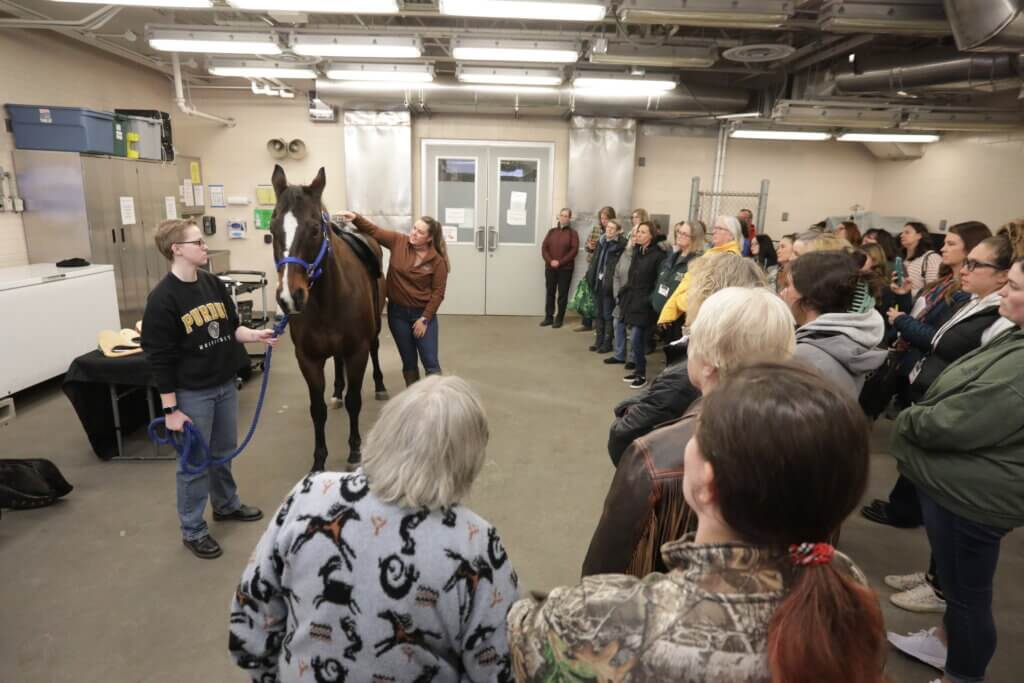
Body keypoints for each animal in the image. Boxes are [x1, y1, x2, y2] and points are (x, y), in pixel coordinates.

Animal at [268, 165, 387, 473]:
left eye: (314, 229)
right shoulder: (307, 358)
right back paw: (335, 391)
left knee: (376, 349)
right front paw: (319, 460)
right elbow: (317, 409)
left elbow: (355, 401)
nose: (289, 297)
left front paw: (355, 452)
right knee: (336, 363)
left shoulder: (357, 351)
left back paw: (380, 386)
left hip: (375, 330)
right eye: (271, 230)